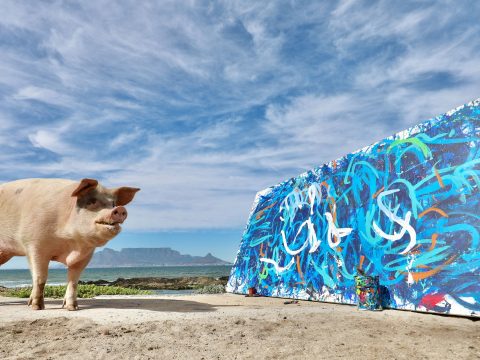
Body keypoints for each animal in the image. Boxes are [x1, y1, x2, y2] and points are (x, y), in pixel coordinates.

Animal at [0, 179, 141, 310]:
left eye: (113, 204)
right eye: (92, 201)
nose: (120, 209)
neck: (70, 243)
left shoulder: (85, 255)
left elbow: (73, 281)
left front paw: (72, 308)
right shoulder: (34, 244)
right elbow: (40, 278)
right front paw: (37, 307)